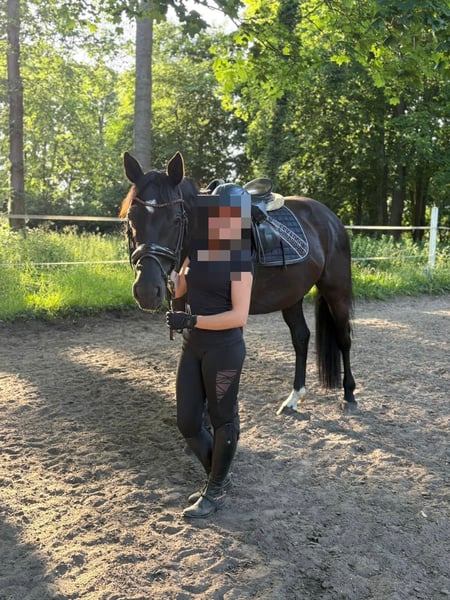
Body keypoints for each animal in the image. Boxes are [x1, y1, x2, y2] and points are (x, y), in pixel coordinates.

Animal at [119, 151, 357, 415]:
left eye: (176, 219)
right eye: (131, 219)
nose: (146, 291)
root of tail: (331, 218)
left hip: (336, 291)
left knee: (343, 338)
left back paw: (348, 395)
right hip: (291, 295)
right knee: (301, 338)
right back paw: (294, 397)